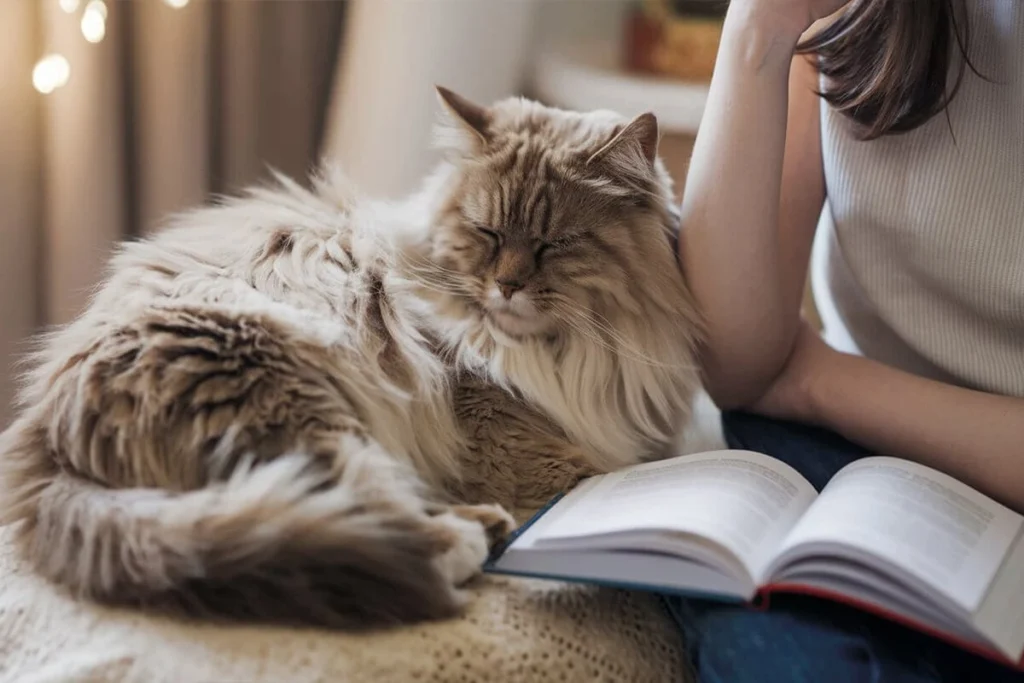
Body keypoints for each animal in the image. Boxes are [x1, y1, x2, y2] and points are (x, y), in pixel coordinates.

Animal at [0, 88, 704, 626]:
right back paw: (471, 540)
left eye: (554, 244)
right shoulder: (515, 447)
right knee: (360, 510)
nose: (506, 286)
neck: (567, 352)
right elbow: (598, 472)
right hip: (300, 400)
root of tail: (45, 444)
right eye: (487, 234)